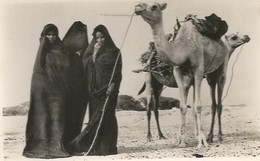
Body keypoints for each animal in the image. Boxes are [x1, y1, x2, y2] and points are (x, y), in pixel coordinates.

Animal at [135, 2, 249, 147]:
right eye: (234, 37)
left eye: (154, 6)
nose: (137, 7)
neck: (184, 48)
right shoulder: (178, 72)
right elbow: (183, 106)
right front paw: (183, 140)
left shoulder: (198, 71)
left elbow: (196, 106)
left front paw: (200, 140)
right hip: (151, 80)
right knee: (150, 107)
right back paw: (150, 137)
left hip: (216, 76)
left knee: (217, 104)